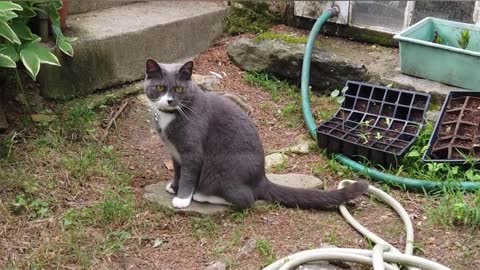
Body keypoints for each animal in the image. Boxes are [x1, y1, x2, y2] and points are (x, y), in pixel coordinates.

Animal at [143, 58, 368, 211]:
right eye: (160, 87)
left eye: (179, 89)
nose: (169, 100)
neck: (170, 116)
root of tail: (261, 177)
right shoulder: (175, 153)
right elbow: (178, 171)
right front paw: (174, 186)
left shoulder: (192, 152)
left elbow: (188, 175)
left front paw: (182, 198)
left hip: (221, 168)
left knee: (246, 198)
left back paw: (203, 196)